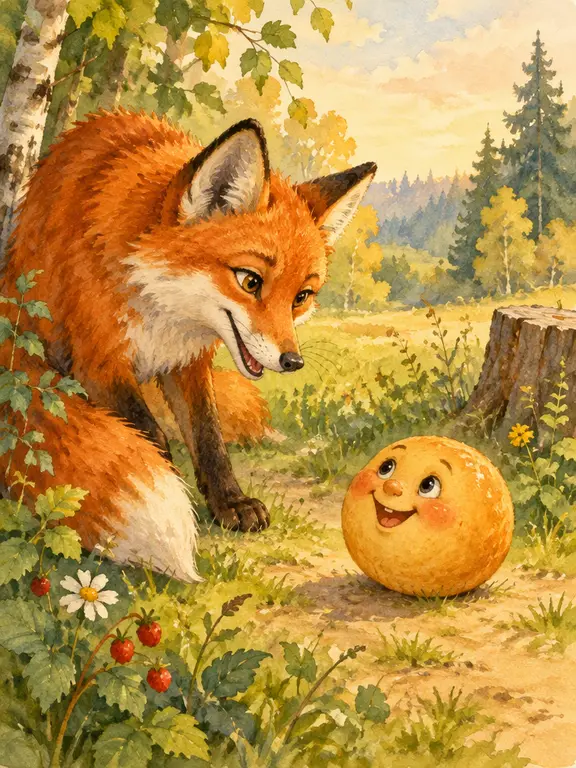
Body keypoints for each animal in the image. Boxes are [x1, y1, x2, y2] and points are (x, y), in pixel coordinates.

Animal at [0, 111, 376, 582]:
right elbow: (152, 437)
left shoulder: (189, 362)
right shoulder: (99, 360)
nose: (292, 361)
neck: (164, 311)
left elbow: (208, 438)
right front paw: (181, 494)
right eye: (249, 281)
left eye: (301, 297)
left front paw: (230, 503)